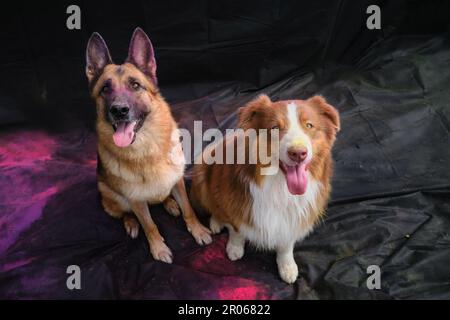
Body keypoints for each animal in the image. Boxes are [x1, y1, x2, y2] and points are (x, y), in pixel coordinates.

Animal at [86, 26, 213, 262]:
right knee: (125, 213)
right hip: (111, 197)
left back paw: (170, 204)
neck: (147, 150)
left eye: (135, 85)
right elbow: (150, 225)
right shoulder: (136, 201)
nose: (119, 110)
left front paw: (198, 230)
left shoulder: (178, 181)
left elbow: (188, 209)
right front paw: (158, 248)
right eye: (105, 89)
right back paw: (131, 223)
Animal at [191, 94, 342, 282]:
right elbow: (236, 229)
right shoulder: (233, 203)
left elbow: (286, 243)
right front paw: (235, 248)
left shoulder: (294, 216)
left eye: (309, 125)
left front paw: (287, 266)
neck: (279, 185)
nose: (298, 153)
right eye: (275, 128)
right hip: (202, 168)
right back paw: (216, 222)